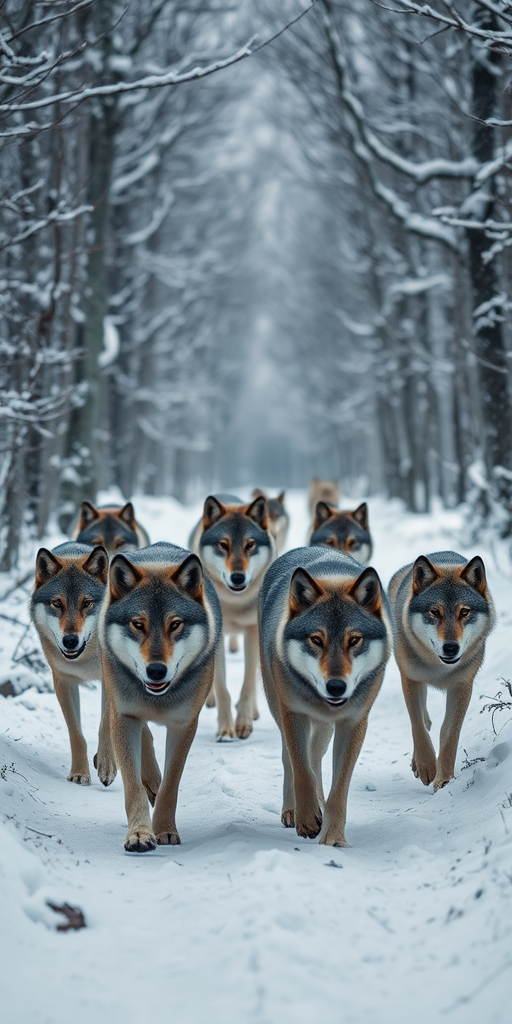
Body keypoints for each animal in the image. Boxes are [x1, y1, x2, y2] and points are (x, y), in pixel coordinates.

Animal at [30, 542, 116, 785]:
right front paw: (79, 773)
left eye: (86, 603)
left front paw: (106, 766)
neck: (86, 659)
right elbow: (76, 734)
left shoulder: (110, 679)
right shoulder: (64, 681)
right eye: (57, 603)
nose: (70, 641)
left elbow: (105, 725)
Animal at [100, 542, 221, 852]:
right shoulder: (125, 715)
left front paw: (165, 830)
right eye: (138, 624)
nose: (156, 671)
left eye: (175, 624)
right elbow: (132, 786)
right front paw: (139, 834)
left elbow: (170, 786)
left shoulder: (184, 724)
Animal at [189, 494, 276, 740]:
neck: (233, 603)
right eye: (223, 545)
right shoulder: (216, 636)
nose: (238, 577)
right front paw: (225, 731)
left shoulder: (252, 632)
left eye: (250, 545)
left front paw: (244, 724)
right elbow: (222, 688)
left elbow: (248, 684)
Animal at [259, 546, 392, 846]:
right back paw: (292, 811)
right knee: (291, 760)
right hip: (279, 709)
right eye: (316, 640)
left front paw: (333, 838)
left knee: (316, 757)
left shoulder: (353, 724)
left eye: (354, 640)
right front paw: (308, 819)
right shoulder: (294, 713)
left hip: (323, 727)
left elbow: (338, 789)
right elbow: (301, 770)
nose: (336, 687)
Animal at [388, 551, 495, 791]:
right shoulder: (411, 679)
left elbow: (449, 735)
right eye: (434, 612)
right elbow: (418, 726)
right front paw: (427, 767)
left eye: (464, 612)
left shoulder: (462, 686)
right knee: (423, 721)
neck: (439, 668)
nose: (451, 648)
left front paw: (444, 780)